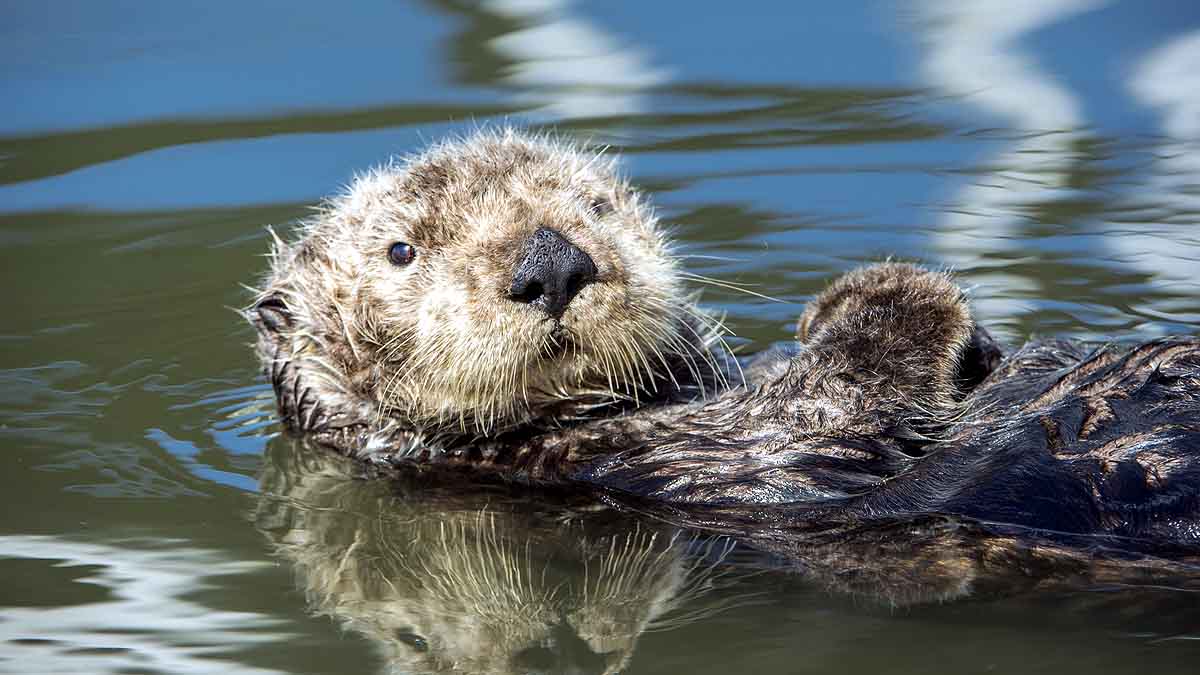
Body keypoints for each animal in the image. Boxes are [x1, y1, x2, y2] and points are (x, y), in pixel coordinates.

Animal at [247, 128, 1200, 555]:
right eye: (402, 249)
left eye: (596, 205)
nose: (552, 262)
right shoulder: (707, 454)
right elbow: (842, 399)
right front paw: (890, 293)